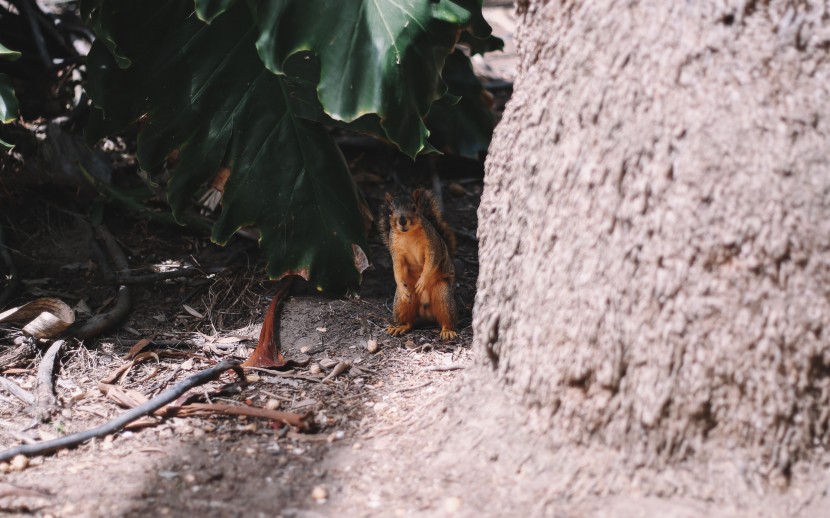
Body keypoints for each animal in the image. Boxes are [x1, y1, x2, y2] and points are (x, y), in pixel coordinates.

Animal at [378, 190, 458, 342]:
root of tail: (425, 313)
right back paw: (399, 327)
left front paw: (422, 281)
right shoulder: (396, 252)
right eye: (390, 211)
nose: (402, 220)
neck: (407, 234)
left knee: (446, 317)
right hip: (403, 302)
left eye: (414, 208)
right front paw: (400, 283)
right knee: (409, 321)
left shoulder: (432, 245)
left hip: (442, 293)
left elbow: (431, 262)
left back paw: (447, 331)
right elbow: (397, 269)